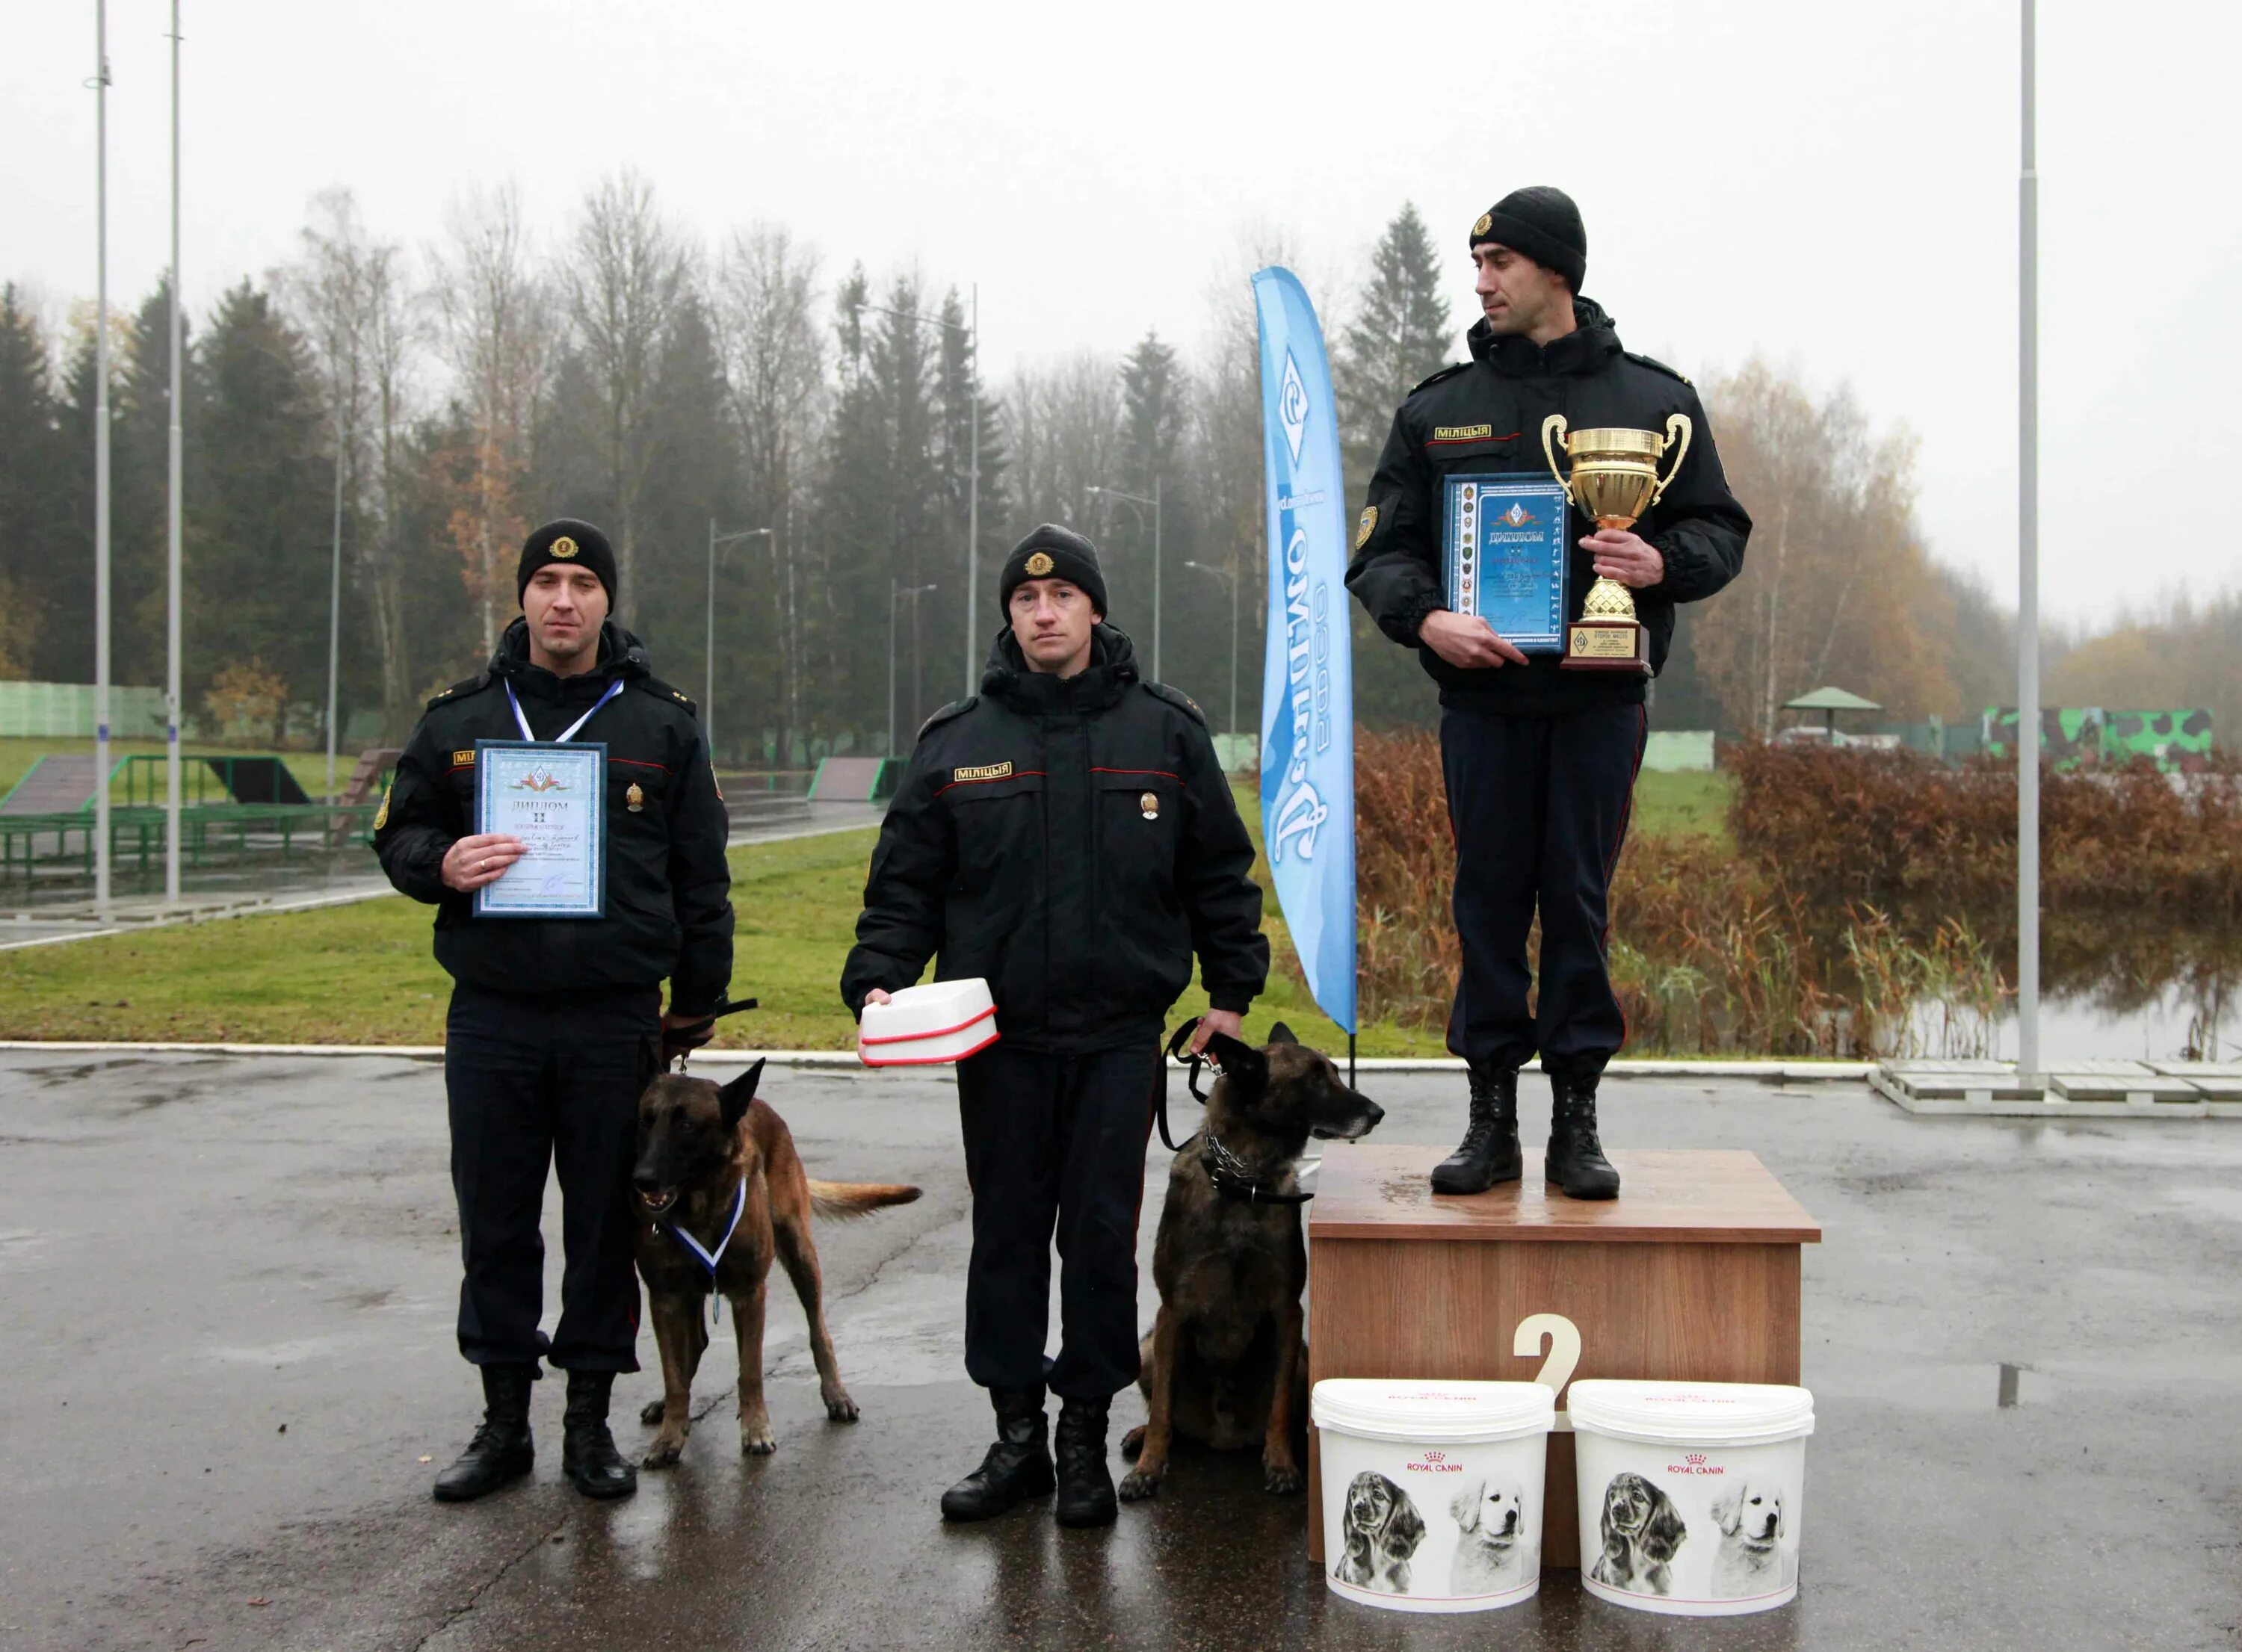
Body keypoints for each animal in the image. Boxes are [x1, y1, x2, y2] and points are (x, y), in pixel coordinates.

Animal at [632, 1062, 919, 1461]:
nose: (641, 1180)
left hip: (801, 1255)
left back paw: (836, 1394)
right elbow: (673, 1376)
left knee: (818, 1330)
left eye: (686, 1125)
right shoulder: (665, 1298)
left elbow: (750, 1371)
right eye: (645, 1121)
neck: (700, 1208)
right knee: (695, 1345)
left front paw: (756, 1429)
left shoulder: (750, 1295)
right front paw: (670, 1435)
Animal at [1121, 1018, 1381, 1497]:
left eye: (1336, 1074)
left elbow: (1278, 1407)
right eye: (1314, 1080)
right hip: (1146, 1348)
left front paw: (1280, 1463)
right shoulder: (1173, 1311)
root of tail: (1221, 1438)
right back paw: (1141, 1437)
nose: (1377, 1113)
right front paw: (1147, 1469)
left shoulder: (1287, 1312)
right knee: (1165, 1413)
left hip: (1303, 1358)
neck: (1243, 1181)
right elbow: (1162, 1408)